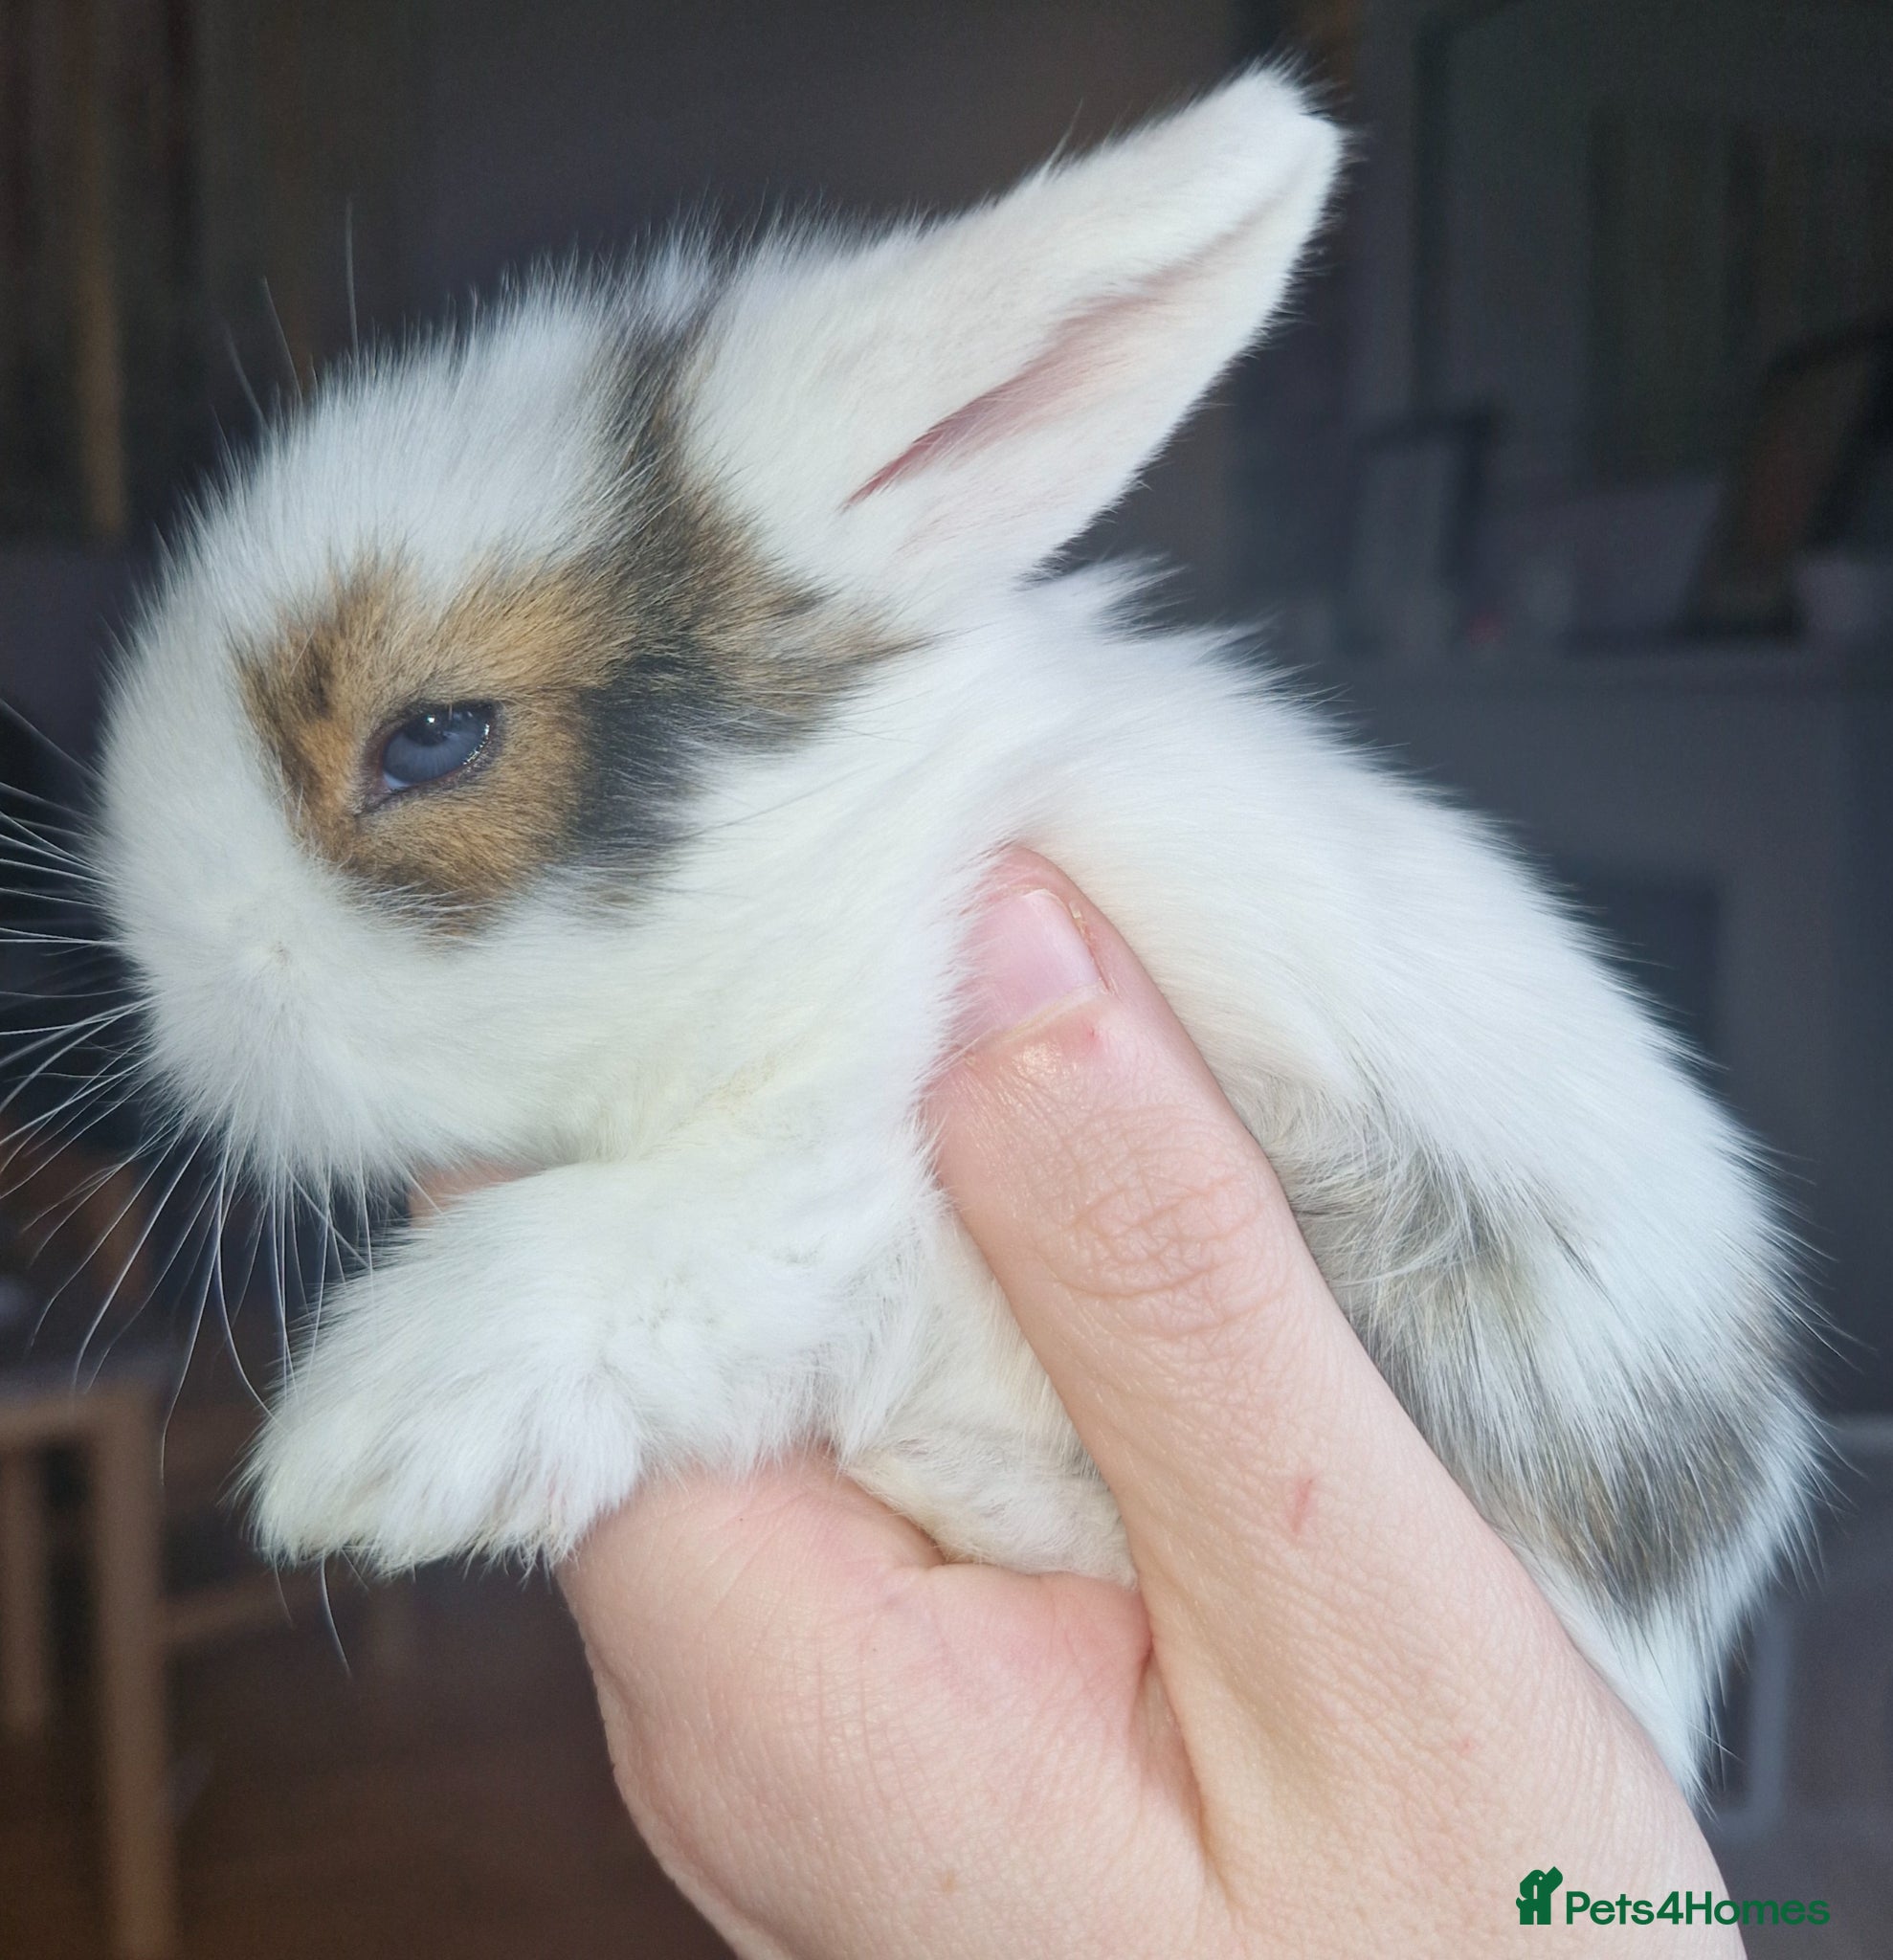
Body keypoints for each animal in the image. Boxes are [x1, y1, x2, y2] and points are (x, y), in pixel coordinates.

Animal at [92, 69, 1815, 1793]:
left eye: (434, 738)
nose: (177, 1006)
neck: (853, 851)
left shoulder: (831, 1161)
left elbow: (683, 1237)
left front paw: (364, 1440)